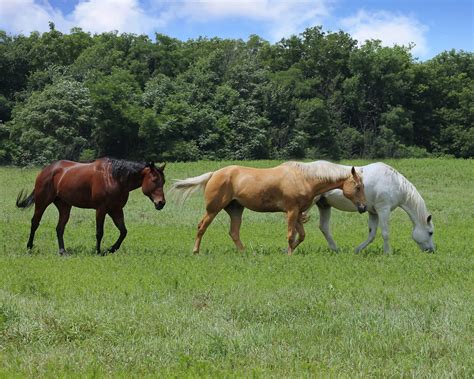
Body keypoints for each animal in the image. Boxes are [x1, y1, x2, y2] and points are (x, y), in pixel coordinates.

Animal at [16, 157, 167, 255]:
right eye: (154, 180)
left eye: (163, 181)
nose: (161, 203)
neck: (113, 177)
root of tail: (46, 170)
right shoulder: (101, 209)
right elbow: (99, 232)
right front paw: (98, 251)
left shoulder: (116, 210)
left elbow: (123, 231)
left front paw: (111, 249)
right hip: (42, 202)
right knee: (35, 223)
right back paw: (29, 247)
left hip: (65, 207)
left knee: (59, 228)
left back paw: (62, 251)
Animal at [171, 160, 366, 255]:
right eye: (358, 187)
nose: (363, 207)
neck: (304, 178)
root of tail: (214, 174)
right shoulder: (291, 211)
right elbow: (291, 235)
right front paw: (288, 253)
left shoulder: (297, 213)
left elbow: (301, 235)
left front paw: (289, 250)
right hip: (213, 209)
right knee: (202, 227)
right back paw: (196, 251)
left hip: (236, 210)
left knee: (234, 232)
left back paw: (245, 253)